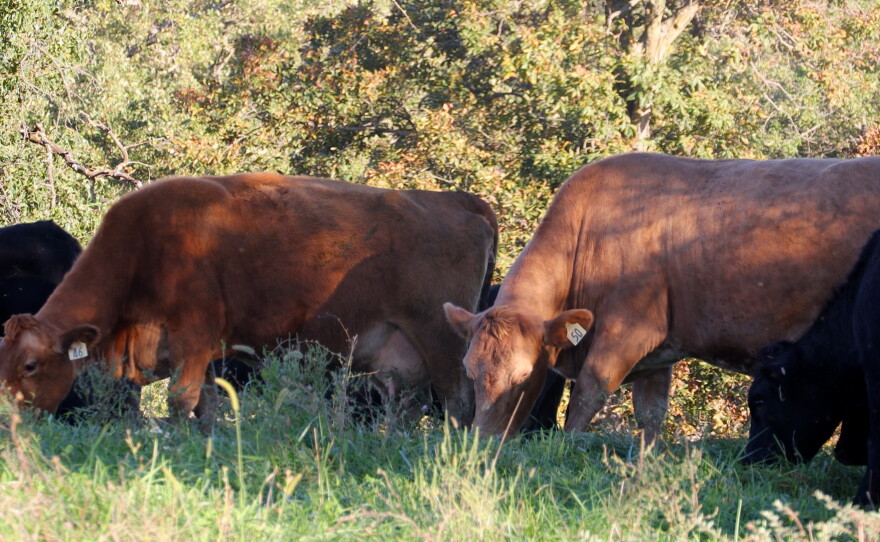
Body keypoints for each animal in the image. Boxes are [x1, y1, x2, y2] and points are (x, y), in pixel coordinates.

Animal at [0, 173, 497, 431]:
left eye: (30, 365)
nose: (12, 420)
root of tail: (458, 200)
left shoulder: (194, 339)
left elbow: (181, 401)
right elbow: (205, 406)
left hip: (441, 341)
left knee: (460, 404)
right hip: (402, 356)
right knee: (411, 407)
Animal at [443, 152, 880, 443]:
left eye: (521, 375)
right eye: (470, 372)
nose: (483, 442)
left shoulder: (630, 328)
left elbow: (588, 393)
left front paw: (568, 447)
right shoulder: (660, 350)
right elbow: (650, 414)